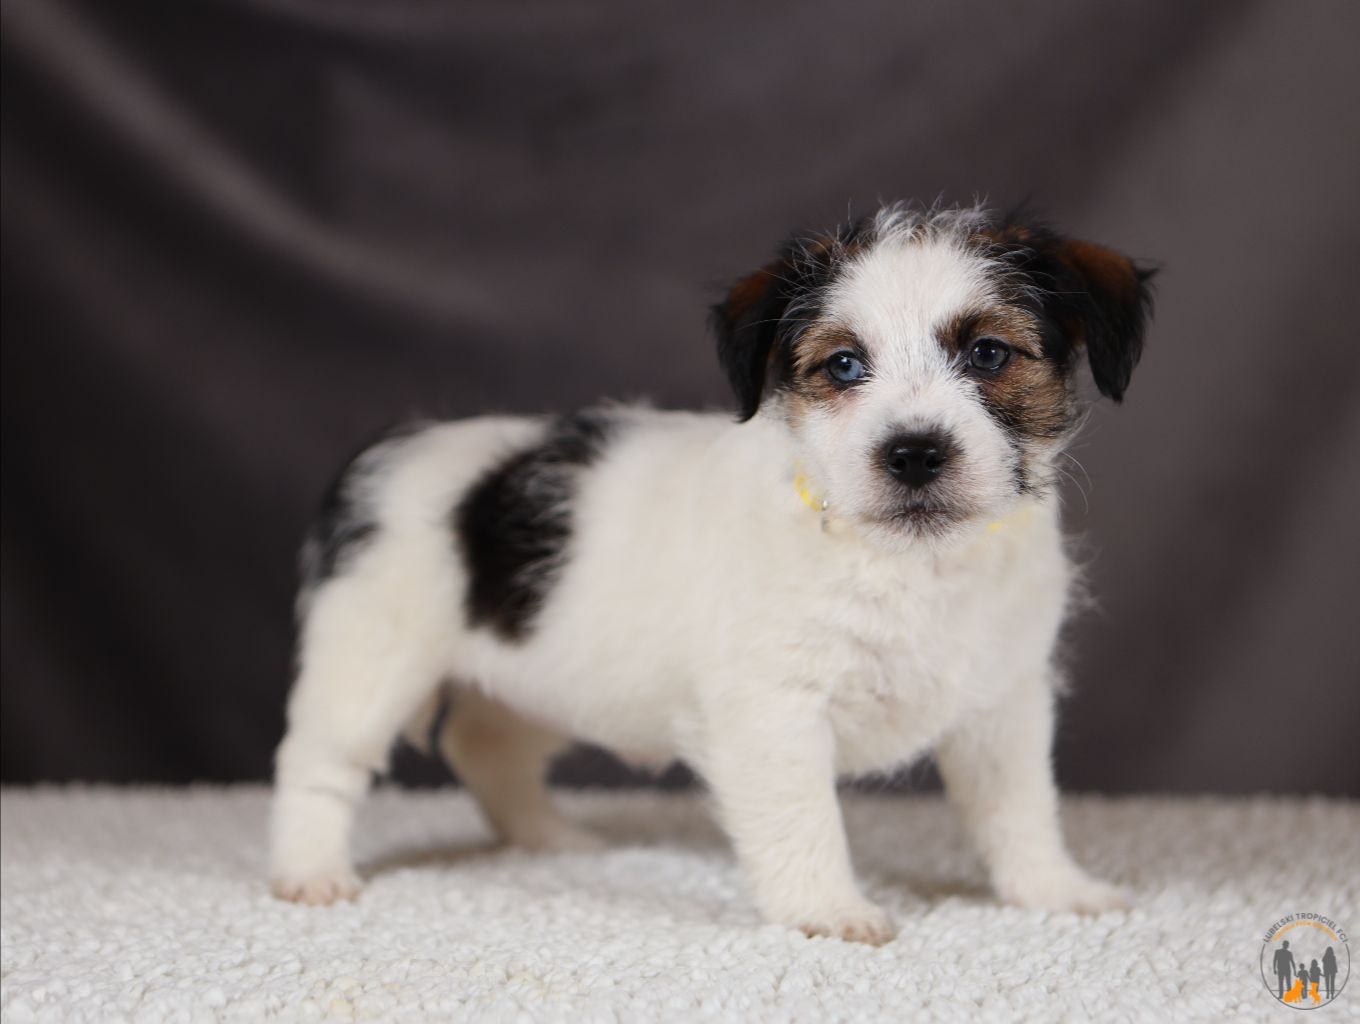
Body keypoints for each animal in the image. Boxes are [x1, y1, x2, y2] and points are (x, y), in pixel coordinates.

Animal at [269, 202, 1154, 945]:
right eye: (843, 366)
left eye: (988, 352)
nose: (913, 453)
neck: (901, 558)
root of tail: (385, 454)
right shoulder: (774, 713)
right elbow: (803, 816)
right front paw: (828, 910)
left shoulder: (1004, 703)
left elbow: (1020, 806)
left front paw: (1053, 889)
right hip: (371, 661)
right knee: (319, 763)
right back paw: (310, 872)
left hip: (546, 671)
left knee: (487, 744)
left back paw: (550, 837)